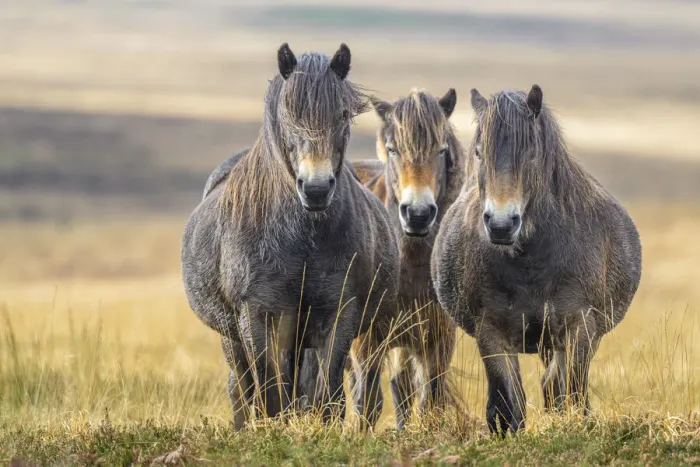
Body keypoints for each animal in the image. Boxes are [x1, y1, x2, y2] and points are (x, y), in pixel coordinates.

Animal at [181, 43, 399, 429]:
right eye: (288, 114)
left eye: (343, 114)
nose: (315, 189)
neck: (302, 239)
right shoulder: (257, 315)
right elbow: (269, 395)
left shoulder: (338, 314)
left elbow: (327, 396)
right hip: (233, 337)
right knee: (241, 388)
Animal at [347, 89, 466, 429]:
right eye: (392, 149)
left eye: (441, 150)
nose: (418, 214)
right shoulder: (366, 343)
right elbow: (367, 404)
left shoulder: (437, 342)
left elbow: (430, 402)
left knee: (401, 388)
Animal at [431, 85, 642, 436]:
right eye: (479, 153)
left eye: (530, 152)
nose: (501, 224)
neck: (531, 264)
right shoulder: (492, 332)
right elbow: (508, 405)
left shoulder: (579, 328)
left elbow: (567, 391)